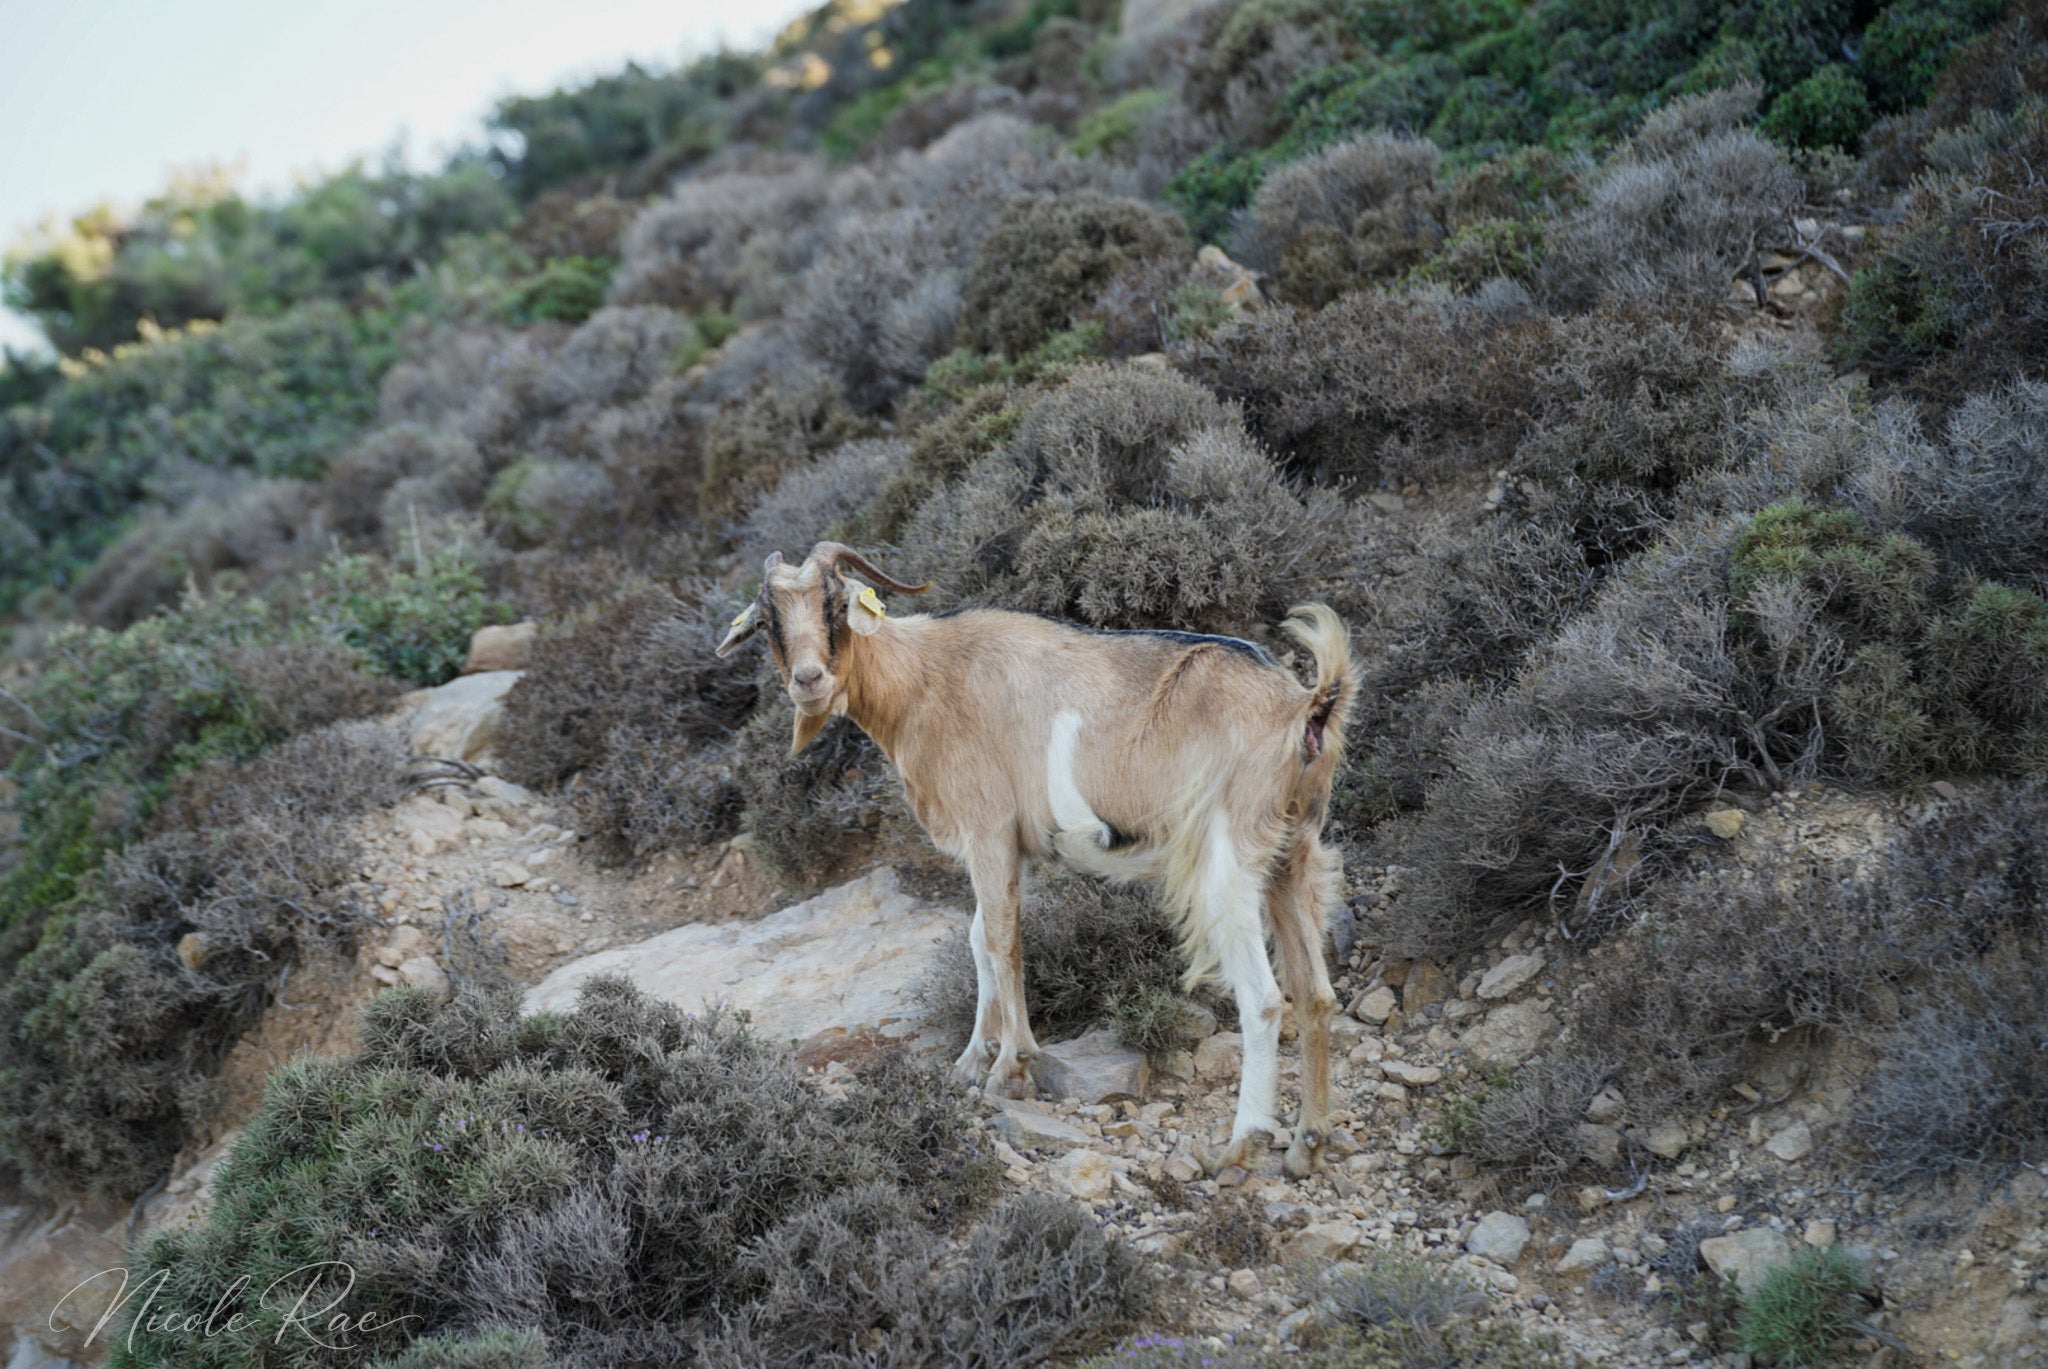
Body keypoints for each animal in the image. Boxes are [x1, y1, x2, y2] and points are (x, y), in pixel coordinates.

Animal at [716, 541, 1358, 1175]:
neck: (924, 678)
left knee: (1265, 999)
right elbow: (981, 938)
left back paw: (1241, 1143)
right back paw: (1306, 1146)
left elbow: (1002, 939)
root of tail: (1306, 708)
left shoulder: (988, 830)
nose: (809, 680)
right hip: (1293, 855)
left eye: (834, 603)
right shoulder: (1008, 847)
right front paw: (972, 1059)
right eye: (768, 620)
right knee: (1316, 995)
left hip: (1229, 860)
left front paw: (1010, 1066)